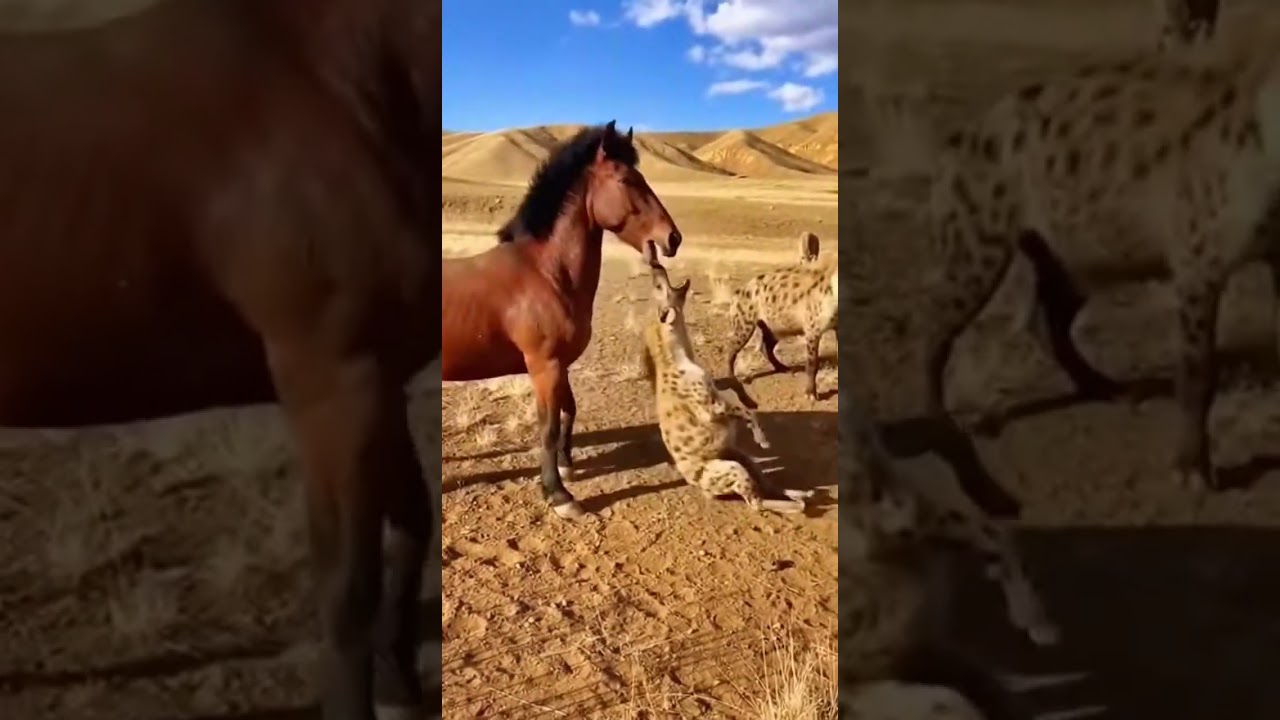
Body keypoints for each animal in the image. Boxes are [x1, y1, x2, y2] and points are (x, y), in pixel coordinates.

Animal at [441, 121, 682, 520]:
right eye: (627, 180)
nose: (672, 238)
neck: (546, 272)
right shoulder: (545, 366)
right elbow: (549, 426)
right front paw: (559, 495)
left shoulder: (561, 365)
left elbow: (570, 410)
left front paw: (567, 465)